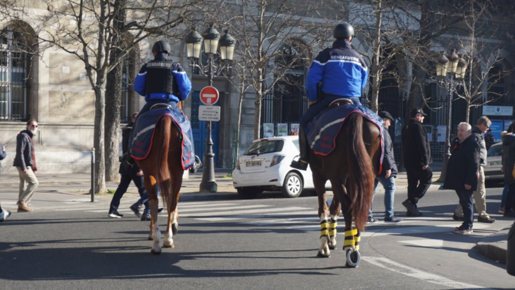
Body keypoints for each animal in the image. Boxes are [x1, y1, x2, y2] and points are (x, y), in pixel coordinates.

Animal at [136, 116, 184, 255]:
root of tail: (166, 116)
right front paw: (174, 224)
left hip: (151, 172)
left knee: (154, 200)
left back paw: (157, 240)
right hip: (175, 170)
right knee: (171, 200)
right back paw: (167, 238)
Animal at [308, 112, 380, 266]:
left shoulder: (318, 175)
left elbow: (324, 208)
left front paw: (324, 246)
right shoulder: (345, 179)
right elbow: (335, 207)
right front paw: (331, 241)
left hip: (335, 177)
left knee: (348, 208)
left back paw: (349, 249)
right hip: (363, 175)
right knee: (358, 208)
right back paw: (354, 246)